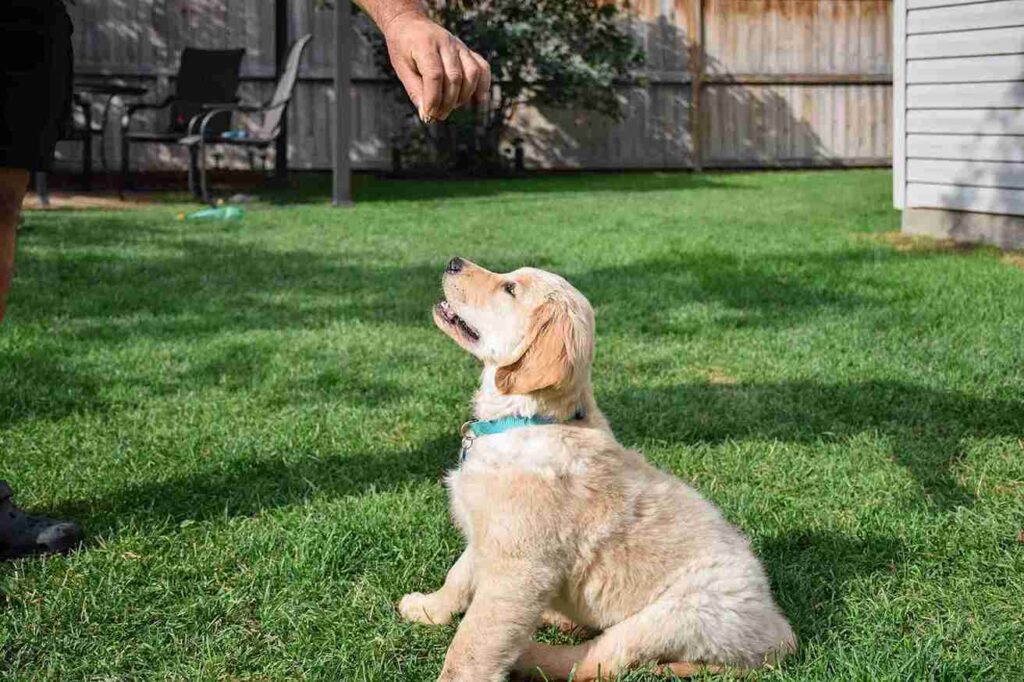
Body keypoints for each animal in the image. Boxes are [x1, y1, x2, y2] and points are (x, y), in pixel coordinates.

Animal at [399, 256, 798, 679]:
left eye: (510, 289)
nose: (453, 261)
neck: (528, 418)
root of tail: (780, 630)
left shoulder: (518, 568)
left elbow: (475, 640)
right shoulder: (486, 536)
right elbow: (458, 576)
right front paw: (428, 607)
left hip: (677, 614)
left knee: (595, 659)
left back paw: (531, 652)